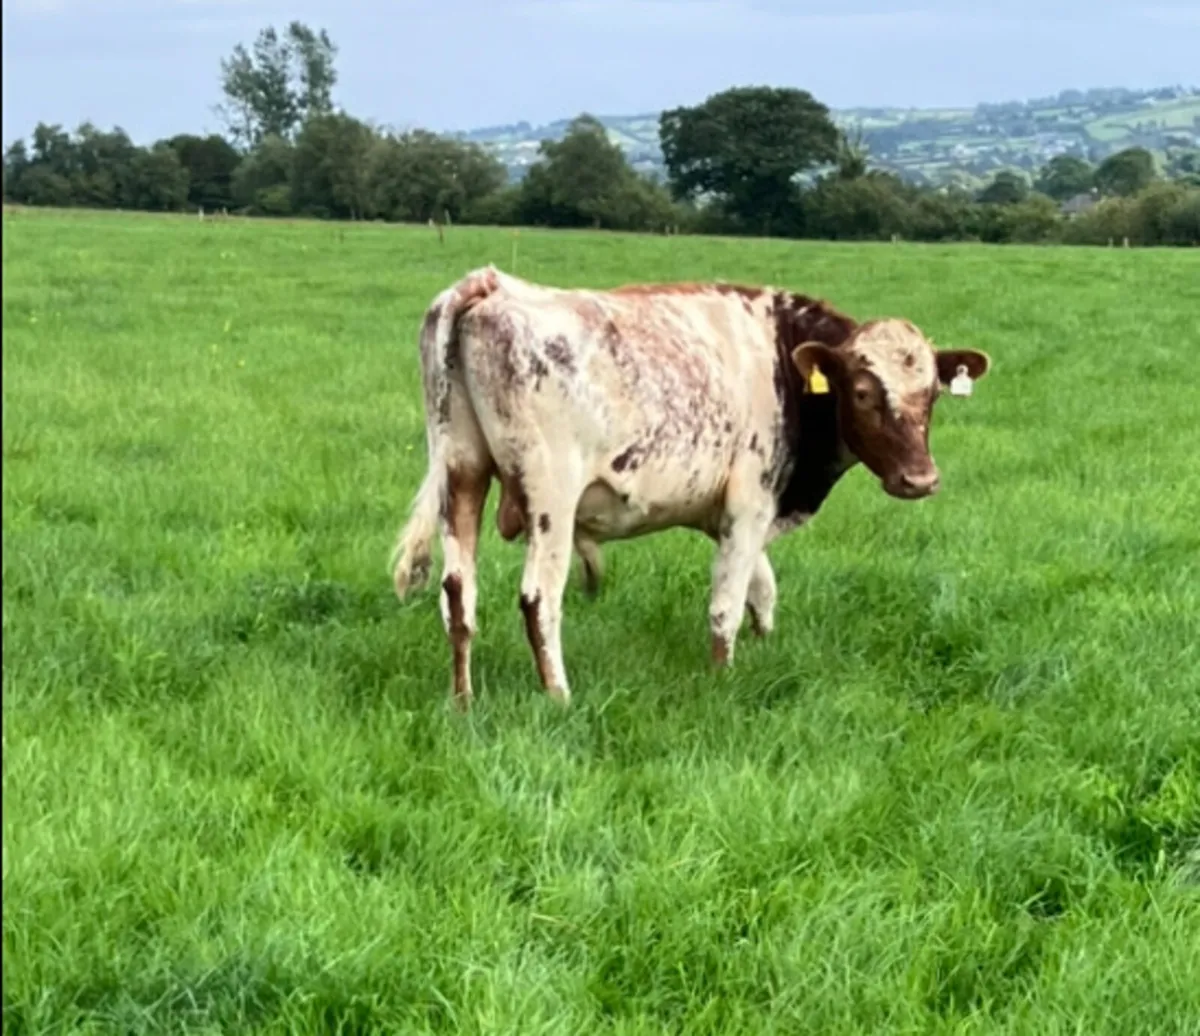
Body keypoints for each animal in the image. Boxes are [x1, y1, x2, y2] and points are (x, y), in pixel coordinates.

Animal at [390, 266, 990, 708]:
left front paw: (764, 648)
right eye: (863, 392)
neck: (782, 359)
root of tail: (490, 283)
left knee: (458, 592)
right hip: (549, 498)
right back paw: (559, 695)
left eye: (933, 393)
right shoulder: (750, 503)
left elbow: (761, 589)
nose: (919, 479)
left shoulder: (731, 513)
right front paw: (722, 681)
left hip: (462, 474)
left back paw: (463, 700)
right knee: (539, 598)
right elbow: (726, 605)